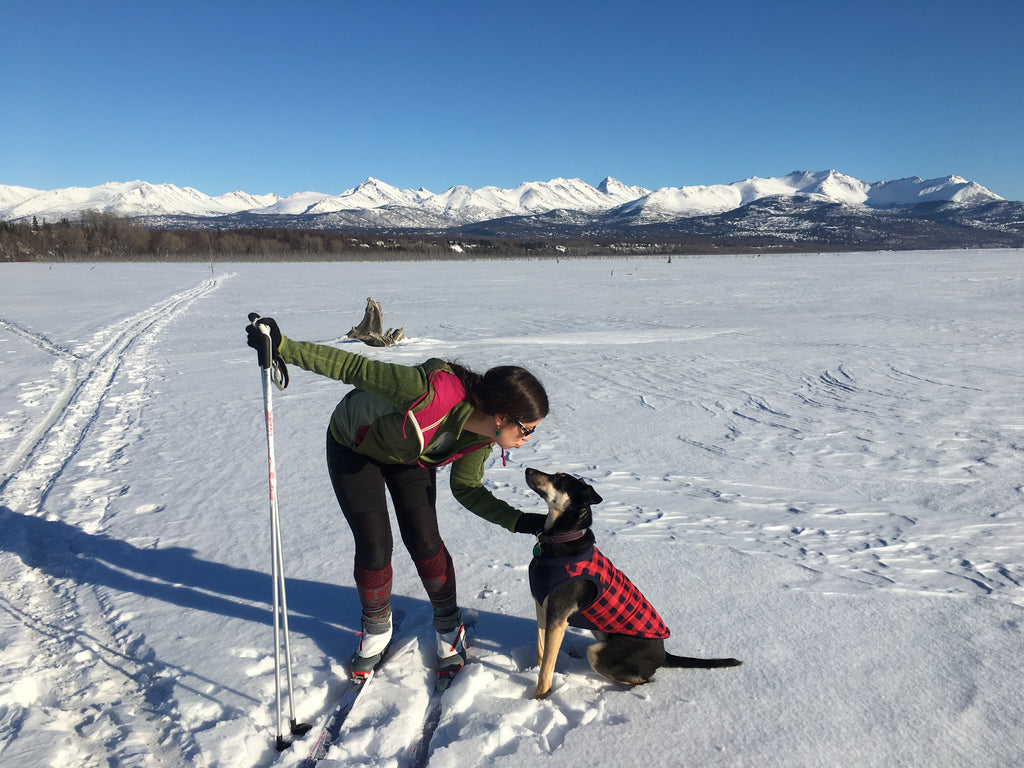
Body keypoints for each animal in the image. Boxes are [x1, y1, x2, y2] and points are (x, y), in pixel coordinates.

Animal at [524, 466, 741, 700]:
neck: (561, 539)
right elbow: (541, 652)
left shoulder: (558, 616)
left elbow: (547, 668)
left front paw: (539, 699)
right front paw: (531, 674)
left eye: (560, 480)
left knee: (643, 680)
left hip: (599, 652)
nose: (527, 469)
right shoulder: (543, 608)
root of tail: (664, 655)